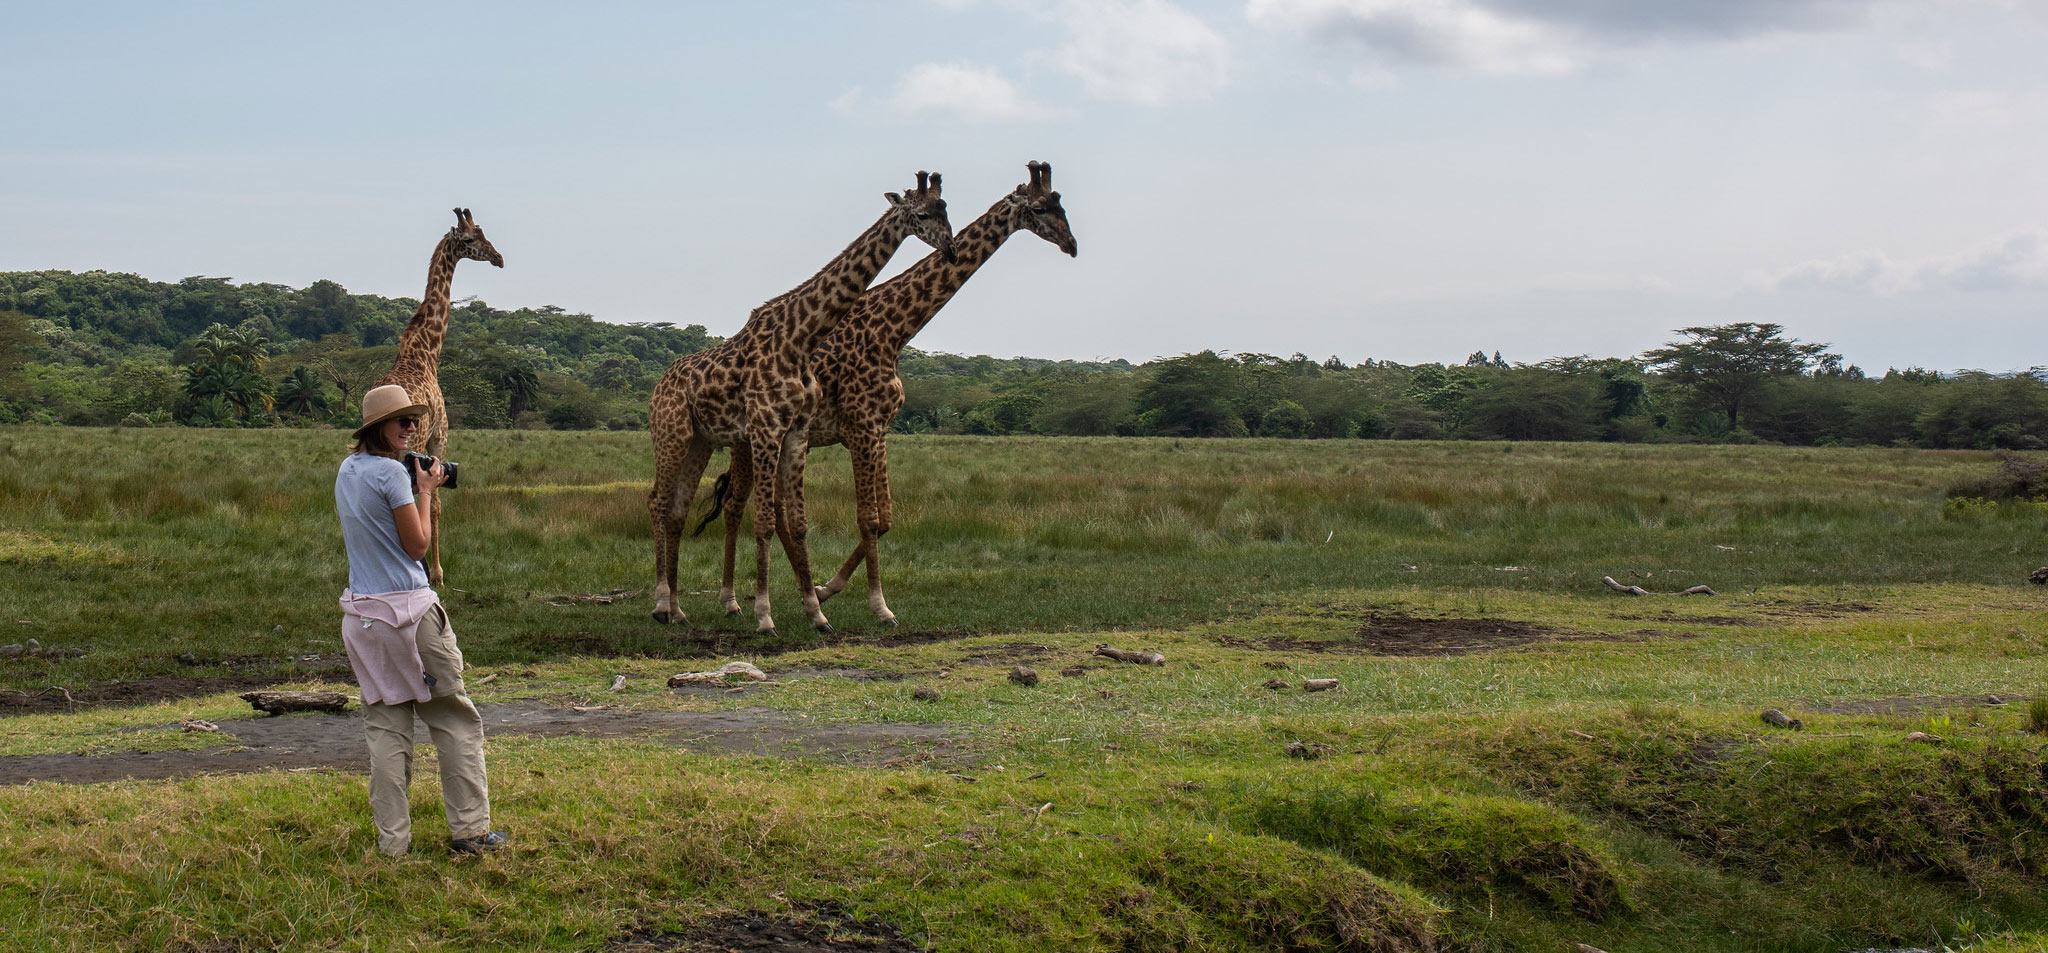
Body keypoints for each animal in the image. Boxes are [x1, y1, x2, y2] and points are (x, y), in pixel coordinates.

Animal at [368, 204, 499, 582]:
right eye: (469, 239)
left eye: (484, 232)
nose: (498, 258)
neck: (424, 353)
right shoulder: (439, 437)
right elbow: (436, 503)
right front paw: (438, 571)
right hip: (407, 448)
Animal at [647, 173, 950, 631]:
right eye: (920, 213)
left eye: (945, 208)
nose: (949, 246)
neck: (799, 338)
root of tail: (658, 385)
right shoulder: (767, 428)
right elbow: (765, 520)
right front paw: (764, 615)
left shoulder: (796, 431)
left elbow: (800, 522)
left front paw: (816, 611)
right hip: (672, 435)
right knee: (658, 503)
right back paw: (662, 604)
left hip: (701, 441)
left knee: (678, 510)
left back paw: (680, 610)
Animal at [704, 161, 1081, 623]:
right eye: (1040, 207)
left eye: (1061, 202)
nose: (1071, 244)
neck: (896, 330)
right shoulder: (862, 426)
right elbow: (868, 518)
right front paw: (877, 605)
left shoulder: (880, 429)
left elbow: (884, 518)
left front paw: (827, 588)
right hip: (749, 440)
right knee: (736, 504)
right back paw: (732, 599)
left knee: (773, 507)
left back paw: (798, 590)